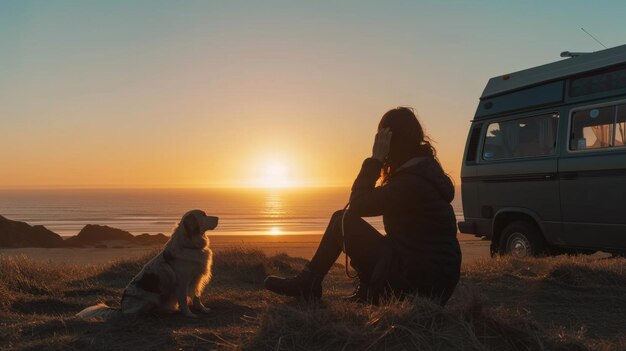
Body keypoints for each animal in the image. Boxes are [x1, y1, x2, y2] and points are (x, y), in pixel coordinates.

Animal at [77, 210, 218, 320]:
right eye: (203, 215)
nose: (217, 217)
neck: (189, 245)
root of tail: (121, 308)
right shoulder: (182, 283)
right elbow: (183, 300)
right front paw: (189, 315)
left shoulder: (196, 279)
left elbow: (197, 297)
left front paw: (203, 309)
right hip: (152, 297)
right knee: (139, 312)